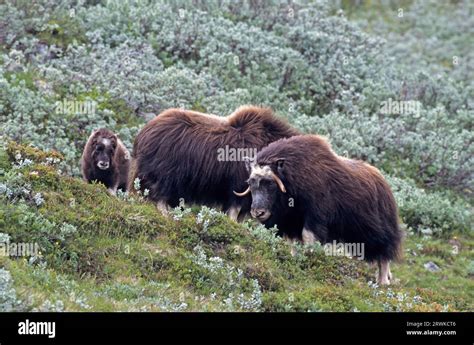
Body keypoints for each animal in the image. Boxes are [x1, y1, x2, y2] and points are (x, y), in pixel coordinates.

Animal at [130, 105, 300, 219]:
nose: (262, 213)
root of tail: (143, 134)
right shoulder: (239, 188)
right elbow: (234, 211)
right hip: (166, 176)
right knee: (160, 195)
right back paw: (167, 215)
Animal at [235, 133, 402, 284]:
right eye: (250, 182)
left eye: (269, 183)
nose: (258, 212)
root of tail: (385, 185)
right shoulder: (291, 222)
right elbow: (293, 243)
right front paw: (296, 259)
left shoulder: (314, 217)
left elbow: (308, 236)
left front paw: (310, 258)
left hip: (376, 231)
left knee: (385, 253)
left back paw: (382, 282)